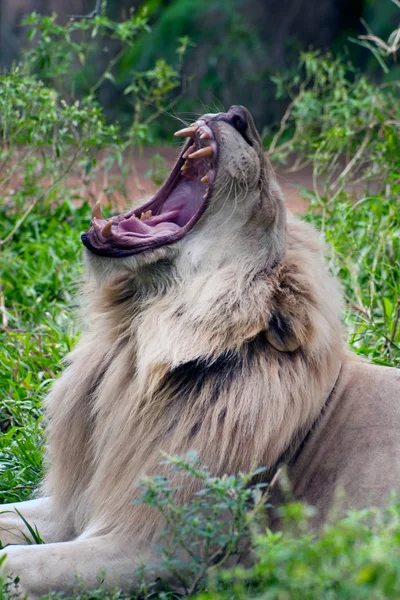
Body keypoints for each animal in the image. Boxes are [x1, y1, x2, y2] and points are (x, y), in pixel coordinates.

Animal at [0, 105, 400, 596]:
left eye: (266, 200)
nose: (239, 115)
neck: (132, 346)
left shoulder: (163, 549)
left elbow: (17, 562)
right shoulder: (75, 505)